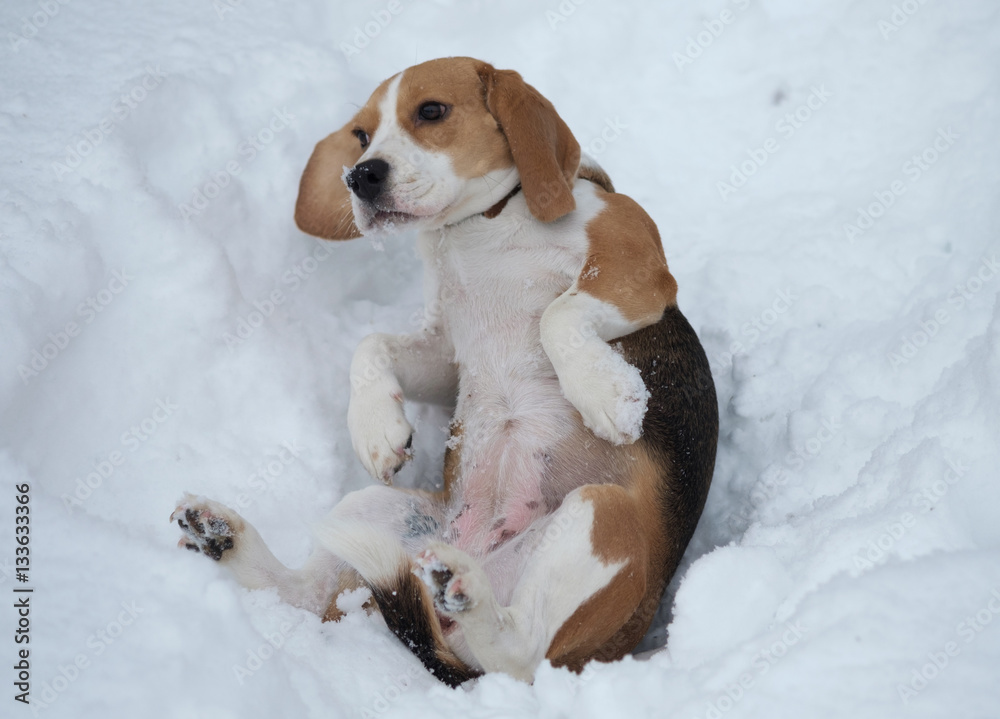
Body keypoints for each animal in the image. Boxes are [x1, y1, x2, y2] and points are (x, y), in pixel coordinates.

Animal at [174, 57, 720, 688]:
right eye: (361, 134)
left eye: (431, 111)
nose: (360, 176)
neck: (480, 225)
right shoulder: (445, 352)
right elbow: (371, 344)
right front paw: (376, 427)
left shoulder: (638, 267)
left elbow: (559, 314)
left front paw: (606, 391)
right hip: (378, 510)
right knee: (307, 595)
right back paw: (223, 537)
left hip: (601, 519)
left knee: (518, 657)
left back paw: (467, 592)